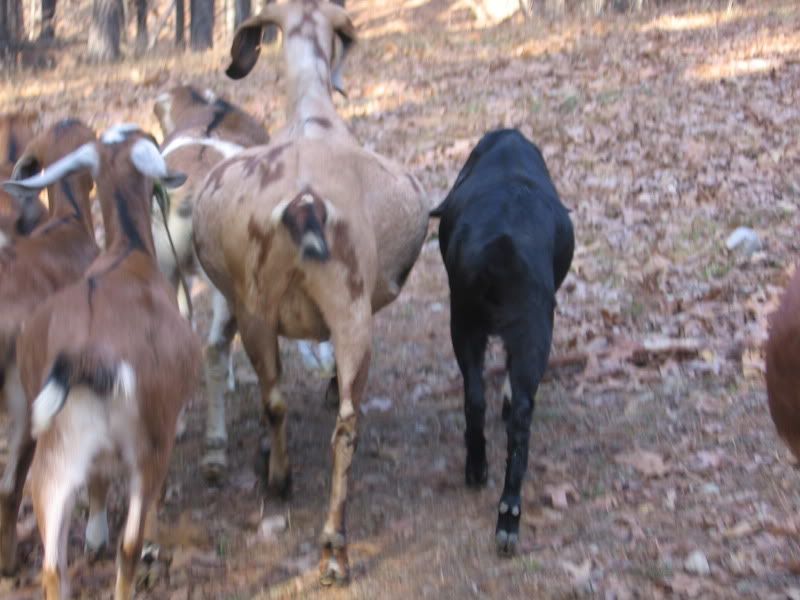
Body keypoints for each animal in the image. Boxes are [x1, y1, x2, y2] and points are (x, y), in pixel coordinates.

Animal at [4, 124, 200, 599]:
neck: (128, 252)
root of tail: (87, 358)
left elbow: (95, 485)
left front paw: (93, 535)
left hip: (53, 462)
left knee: (52, 566)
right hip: (148, 452)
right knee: (128, 548)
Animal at [192, 0, 429, 584]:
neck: (312, 114)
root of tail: (305, 201)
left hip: (259, 306)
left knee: (277, 399)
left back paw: (286, 489)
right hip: (347, 307)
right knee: (344, 423)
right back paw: (333, 548)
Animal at [431, 129, 574, 557]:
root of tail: (502, 249)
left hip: (466, 325)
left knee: (476, 399)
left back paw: (489, 487)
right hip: (528, 332)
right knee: (518, 417)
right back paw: (503, 506)